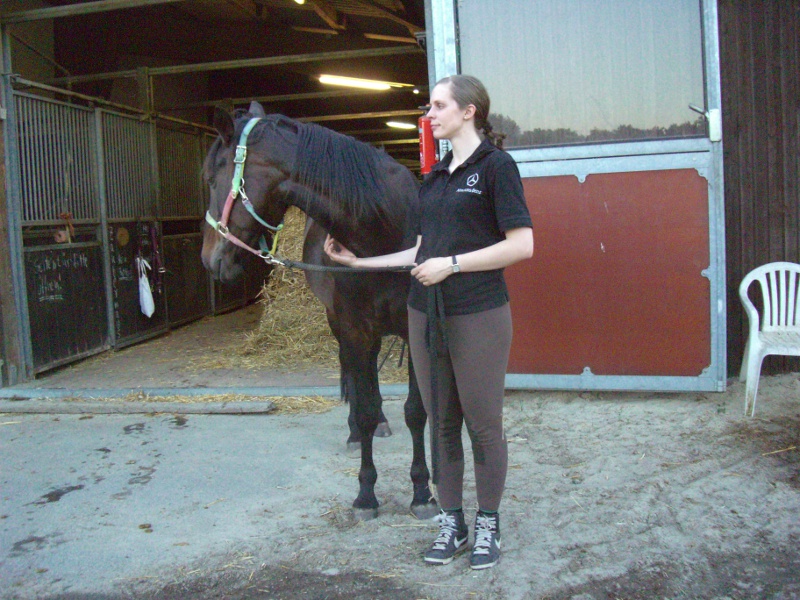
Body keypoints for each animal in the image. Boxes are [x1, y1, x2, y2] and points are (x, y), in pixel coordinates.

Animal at [201, 101, 439, 521]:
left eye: (213, 179)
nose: (208, 258)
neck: (383, 233)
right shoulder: (355, 329)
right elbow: (364, 406)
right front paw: (365, 494)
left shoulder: (414, 331)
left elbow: (415, 411)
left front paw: (422, 492)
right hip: (340, 326)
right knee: (359, 384)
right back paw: (358, 430)